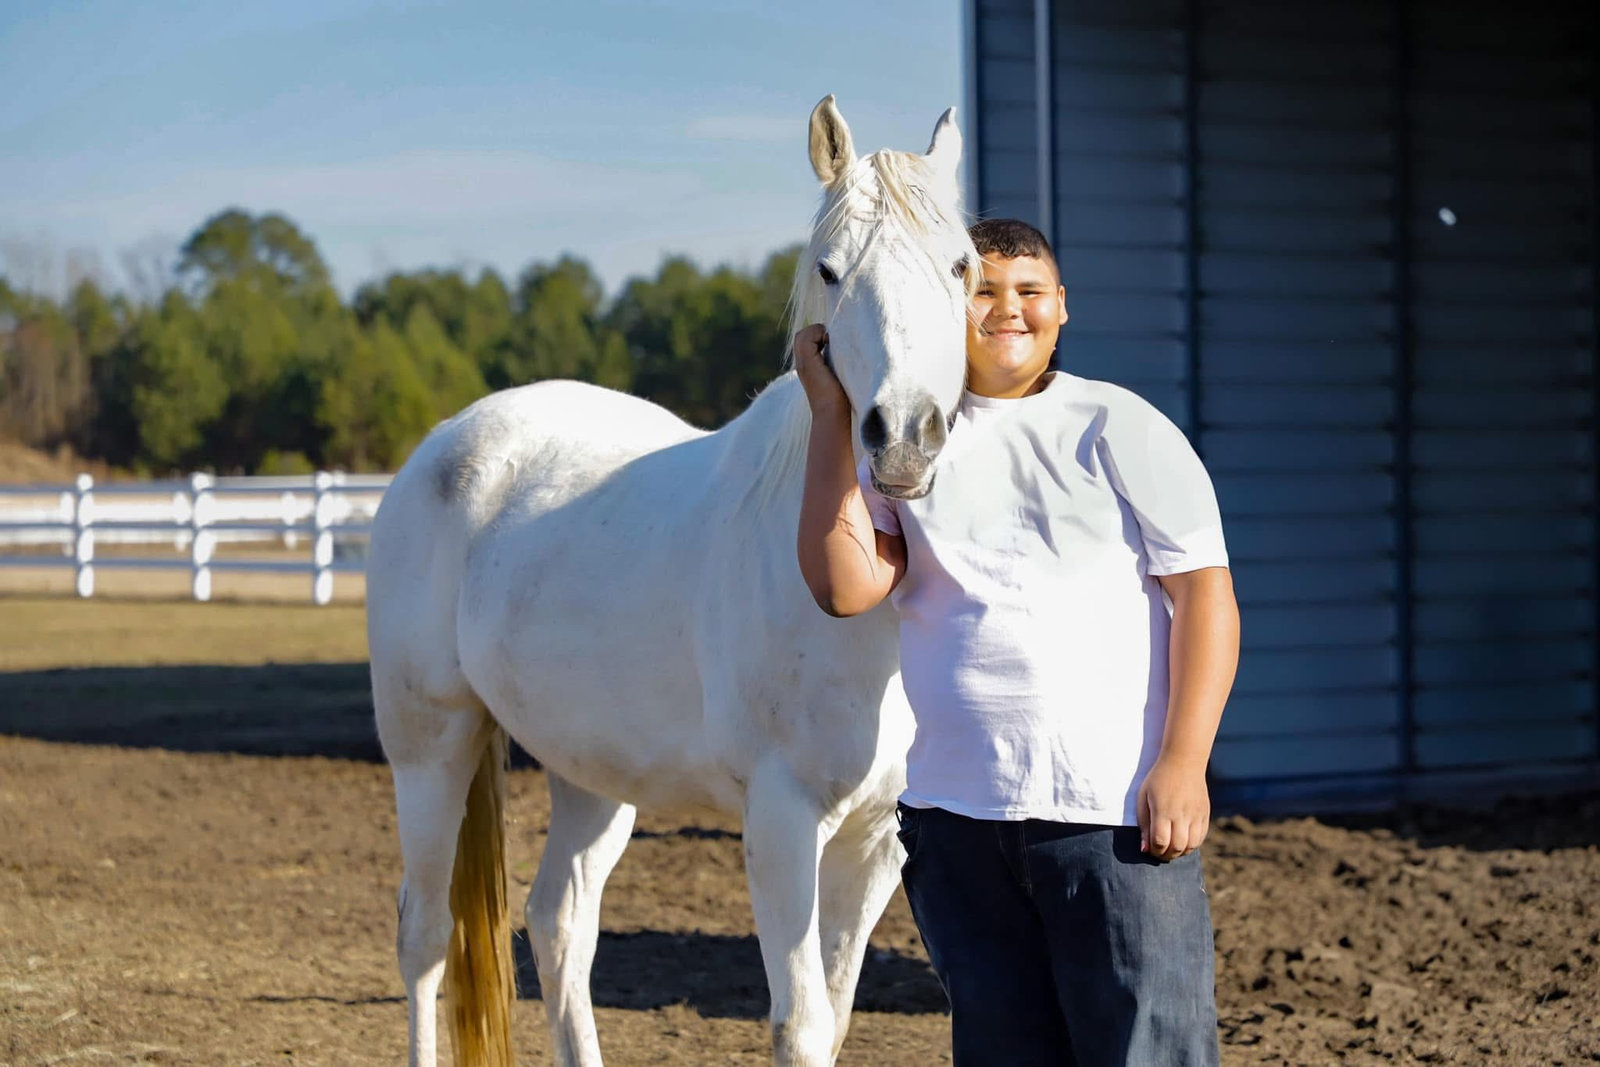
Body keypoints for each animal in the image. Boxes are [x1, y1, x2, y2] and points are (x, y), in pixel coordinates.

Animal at [366, 95, 977, 1067]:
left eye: (961, 265)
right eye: (830, 270)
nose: (904, 439)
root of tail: (447, 444)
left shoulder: (878, 837)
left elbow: (838, 1013)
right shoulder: (782, 820)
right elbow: (802, 1024)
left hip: (592, 770)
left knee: (558, 921)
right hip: (430, 746)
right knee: (424, 936)